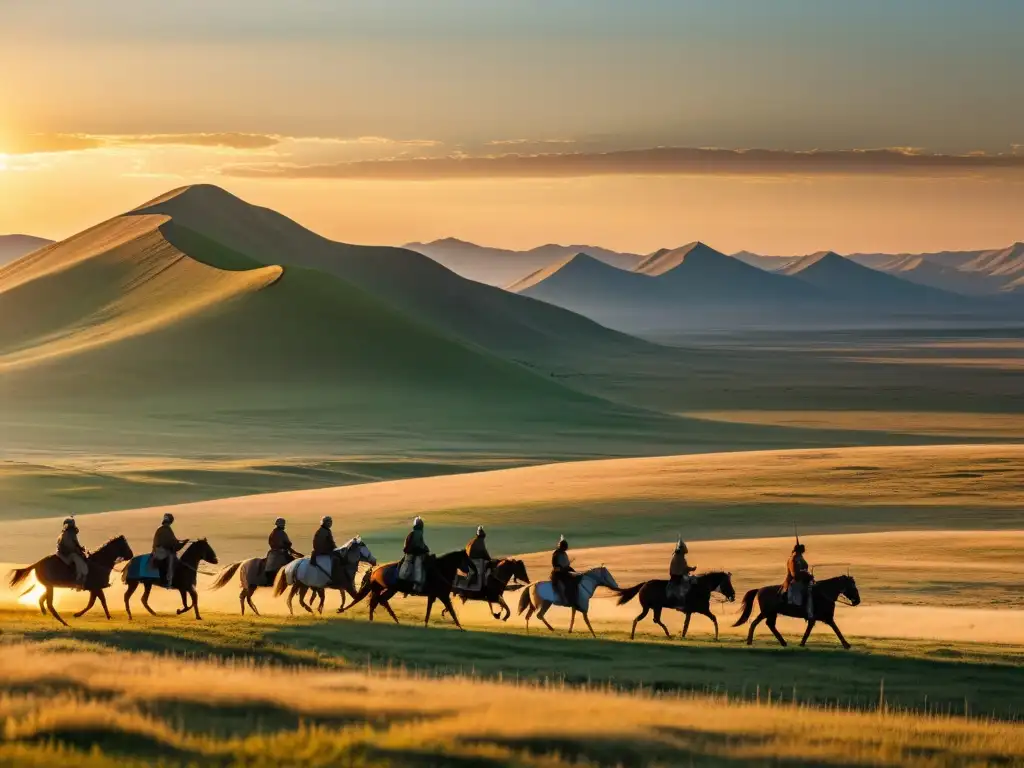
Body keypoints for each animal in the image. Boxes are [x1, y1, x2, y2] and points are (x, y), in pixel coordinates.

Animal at [342, 548, 473, 626]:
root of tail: (374, 571)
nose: (469, 571)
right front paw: (461, 628)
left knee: (379, 601)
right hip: (387, 589)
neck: (441, 570)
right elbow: (451, 611)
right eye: (466, 559)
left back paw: (391, 620)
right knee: (377, 601)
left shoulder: (433, 596)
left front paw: (426, 625)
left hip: (388, 590)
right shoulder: (443, 595)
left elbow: (429, 611)